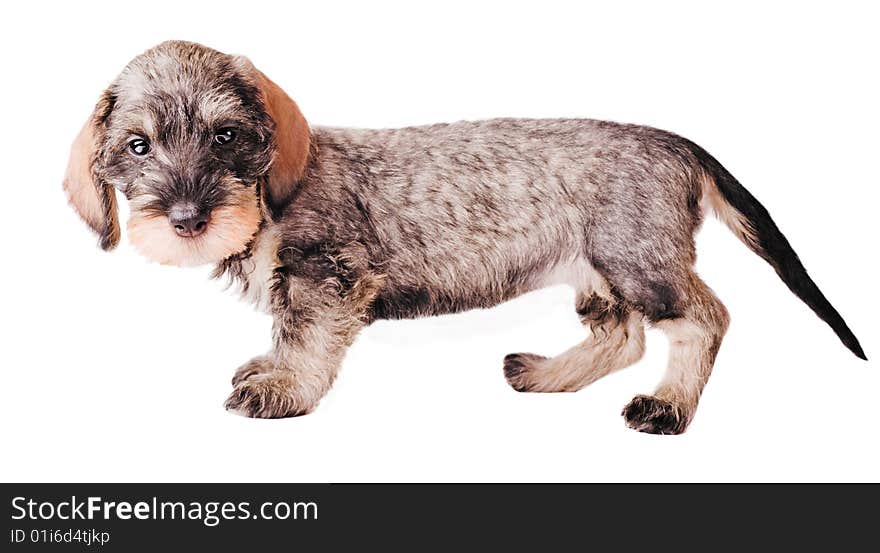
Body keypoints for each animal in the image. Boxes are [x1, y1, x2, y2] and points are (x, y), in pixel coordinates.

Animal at [63, 41, 868, 434]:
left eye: (226, 135)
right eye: (137, 146)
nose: (187, 219)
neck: (267, 199)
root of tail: (679, 145)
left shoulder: (328, 280)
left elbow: (307, 339)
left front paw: (284, 390)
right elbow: (285, 333)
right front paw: (270, 370)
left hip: (639, 261)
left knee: (704, 319)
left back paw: (667, 407)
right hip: (597, 272)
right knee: (622, 336)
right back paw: (546, 374)